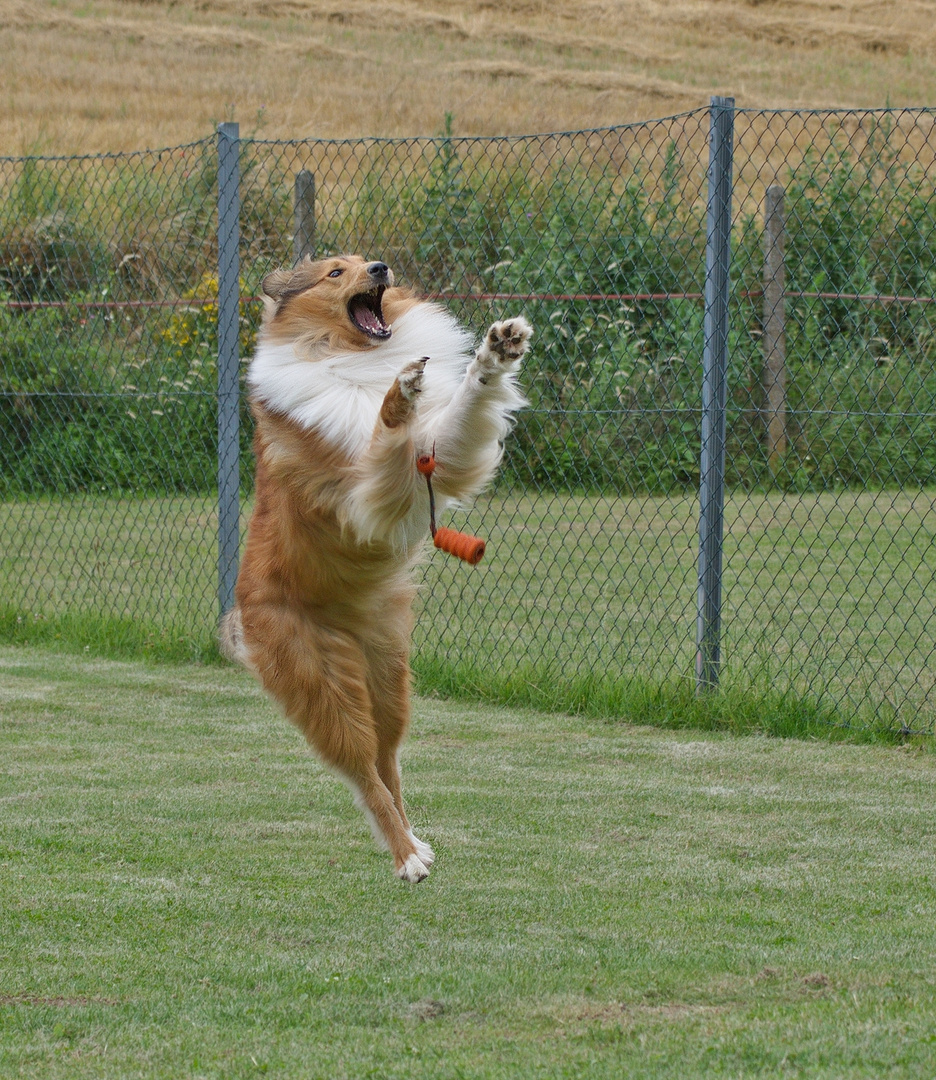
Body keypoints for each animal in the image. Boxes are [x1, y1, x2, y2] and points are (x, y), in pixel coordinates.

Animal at [215, 254, 531, 885]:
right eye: (336, 272)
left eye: (366, 260)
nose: (381, 268)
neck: (351, 358)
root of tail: (242, 614)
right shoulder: (362, 489)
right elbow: (385, 438)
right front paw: (398, 394)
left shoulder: (435, 453)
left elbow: (461, 408)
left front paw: (495, 354)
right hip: (325, 687)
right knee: (362, 772)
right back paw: (406, 858)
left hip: (388, 675)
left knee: (388, 762)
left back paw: (415, 842)